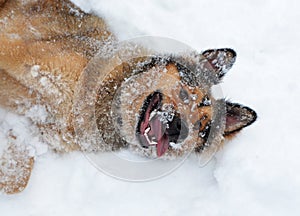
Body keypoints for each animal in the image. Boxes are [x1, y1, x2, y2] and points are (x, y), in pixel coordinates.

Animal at [0, 0, 255, 194]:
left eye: (200, 125)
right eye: (185, 93)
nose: (176, 128)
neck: (110, 96)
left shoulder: (35, 128)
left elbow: (16, 179)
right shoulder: (13, 47)